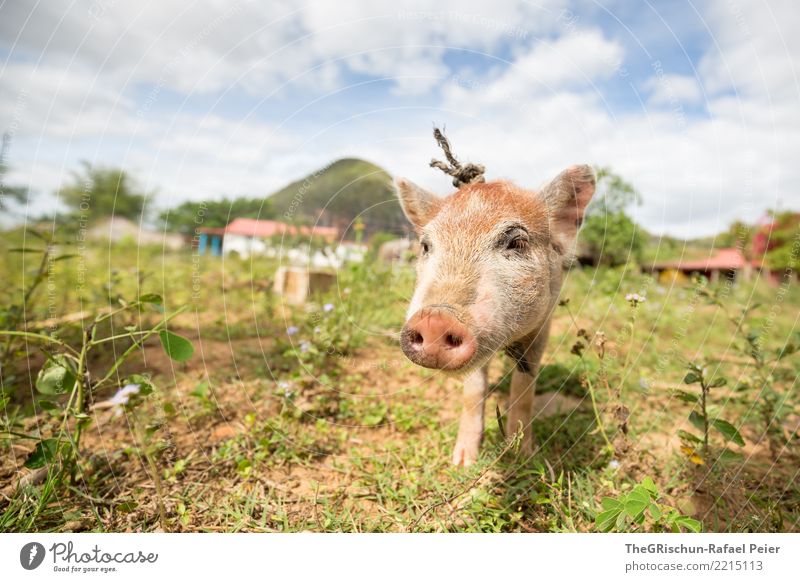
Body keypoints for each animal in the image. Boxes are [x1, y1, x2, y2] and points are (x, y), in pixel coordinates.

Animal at [394, 167, 592, 468]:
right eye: (426, 246)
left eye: (517, 242)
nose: (434, 318)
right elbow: (473, 391)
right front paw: (462, 462)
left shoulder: (542, 327)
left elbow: (524, 388)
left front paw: (524, 455)